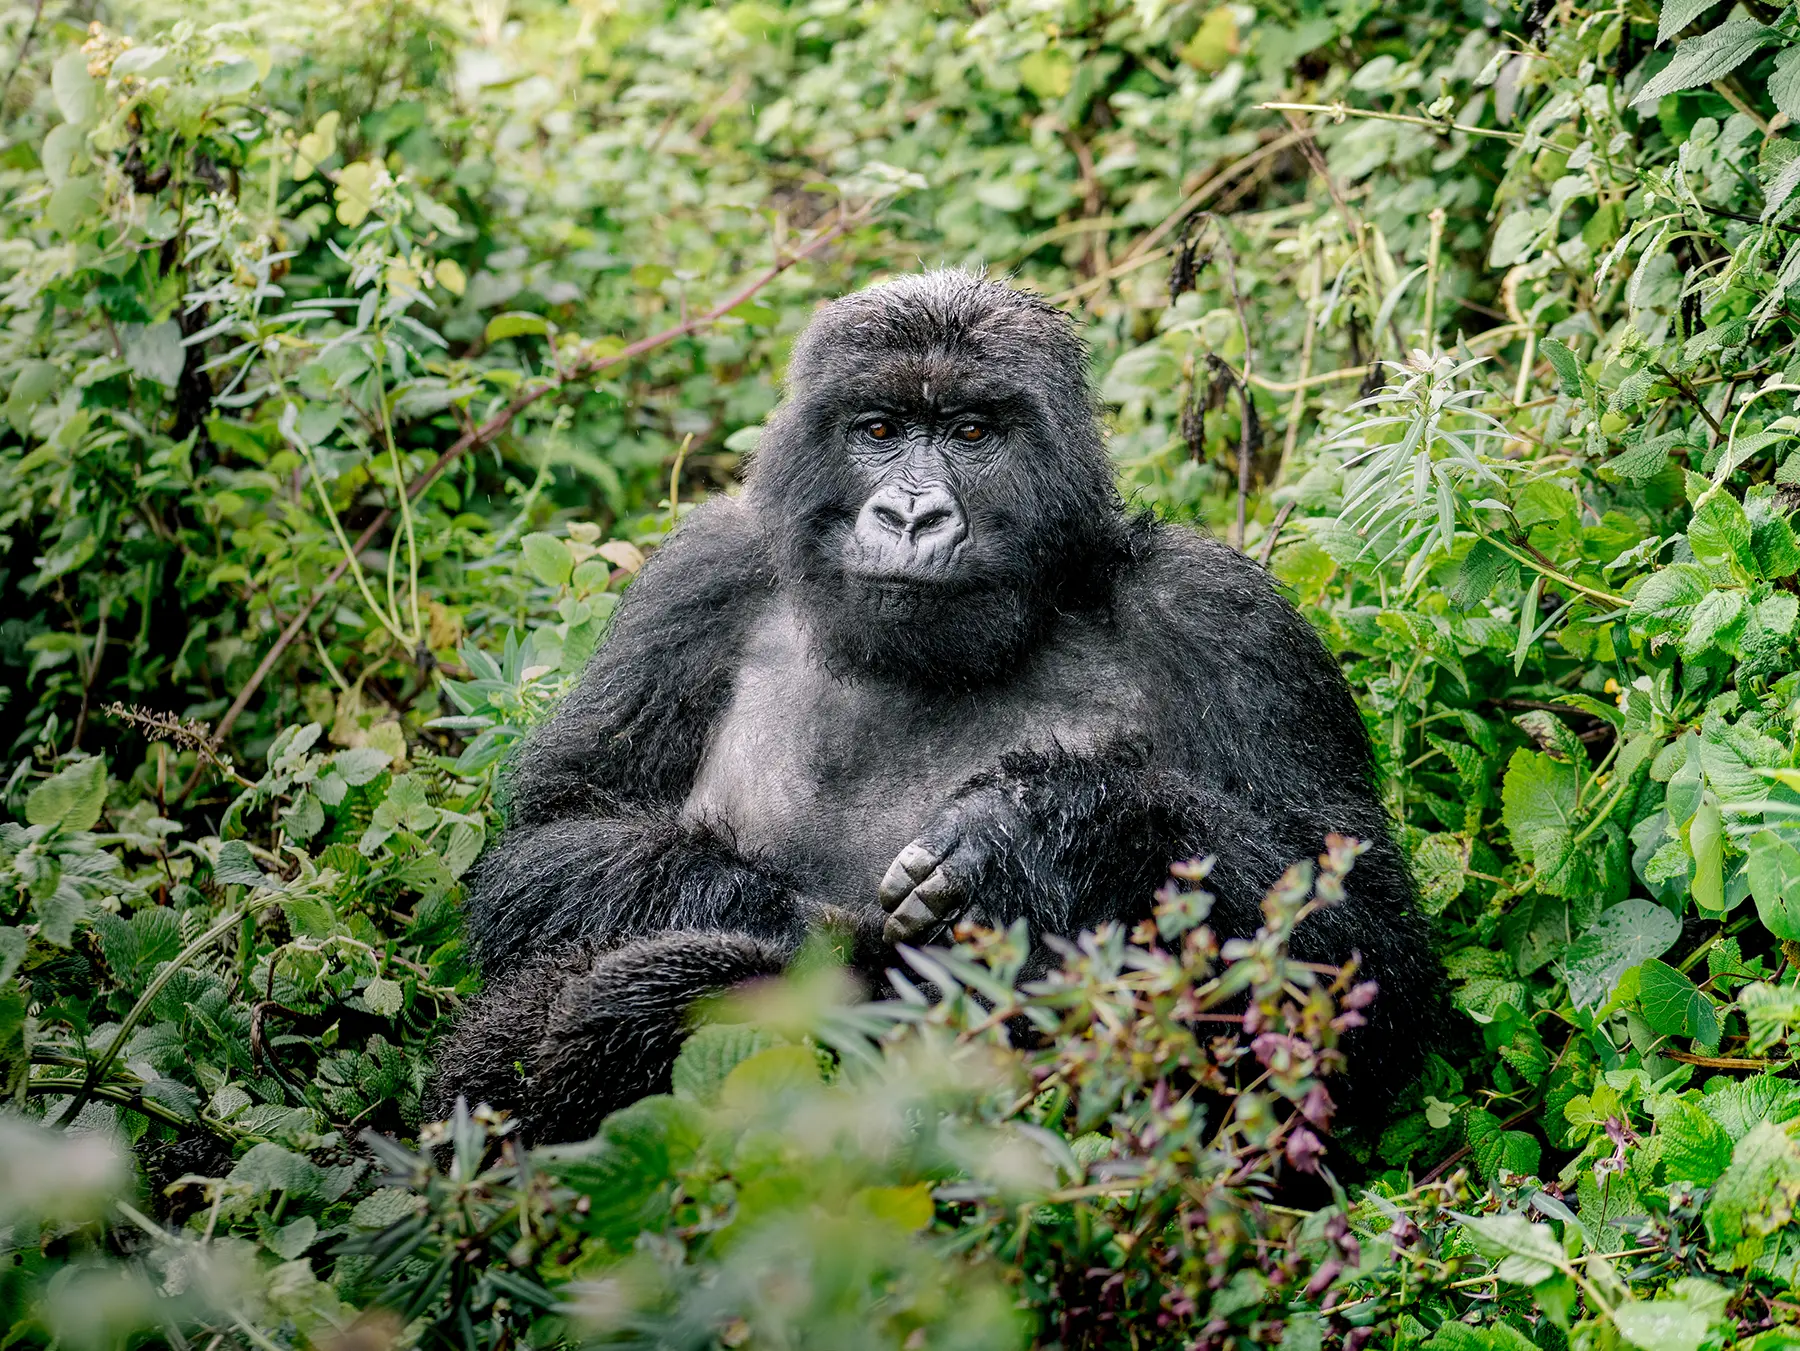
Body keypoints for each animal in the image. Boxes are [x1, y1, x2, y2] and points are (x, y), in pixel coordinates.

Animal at [427, 270, 1441, 1146]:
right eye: (879, 428)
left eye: (971, 432)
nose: (911, 516)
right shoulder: (698, 579)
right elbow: (549, 845)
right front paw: (805, 930)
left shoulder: (1225, 618)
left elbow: (1362, 950)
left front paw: (1043, 828)